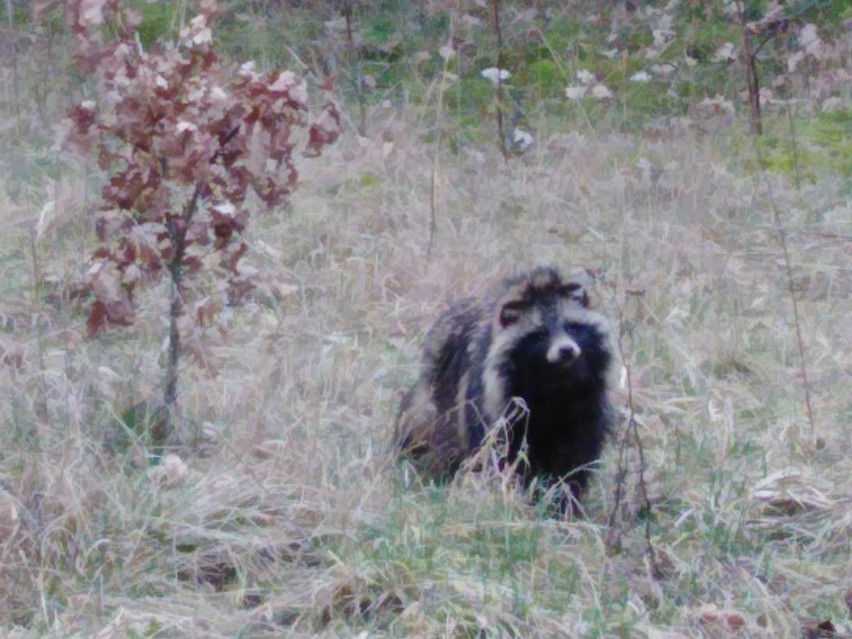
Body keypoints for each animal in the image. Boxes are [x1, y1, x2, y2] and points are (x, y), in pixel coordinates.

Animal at [396, 268, 616, 512]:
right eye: (541, 334)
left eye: (571, 326)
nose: (566, 350)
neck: (555, 381)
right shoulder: (495, 407)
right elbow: (500, 457)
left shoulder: (586, 407)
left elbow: (573, 461)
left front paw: (564, 504)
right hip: (440, 397)